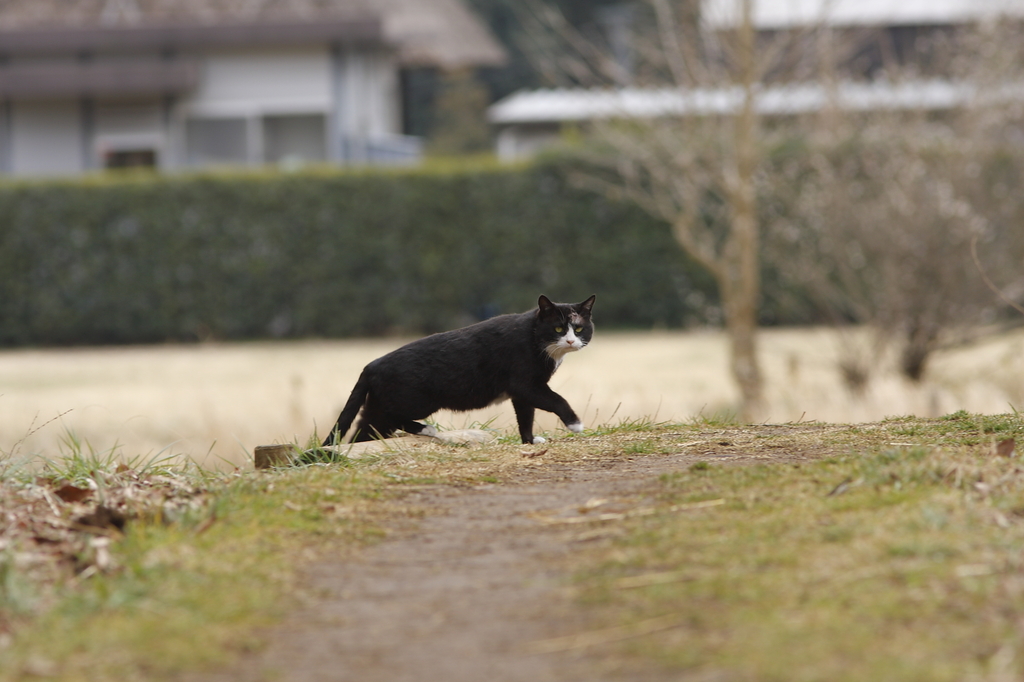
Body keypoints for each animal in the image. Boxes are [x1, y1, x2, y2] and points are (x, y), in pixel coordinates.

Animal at [319, 292, 593, 446]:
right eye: (558, 328)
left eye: (579, 329)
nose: (571, 341)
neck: (535, 338)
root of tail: (371, 365)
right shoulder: (527, 385)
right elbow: (556, 399)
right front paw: (575, 424)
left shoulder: (522, 394)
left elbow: (525, 417)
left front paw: (529, 442)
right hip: (415, 402)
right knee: (391, 418)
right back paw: (426, 428)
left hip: (377, 406)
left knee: (364, 430)